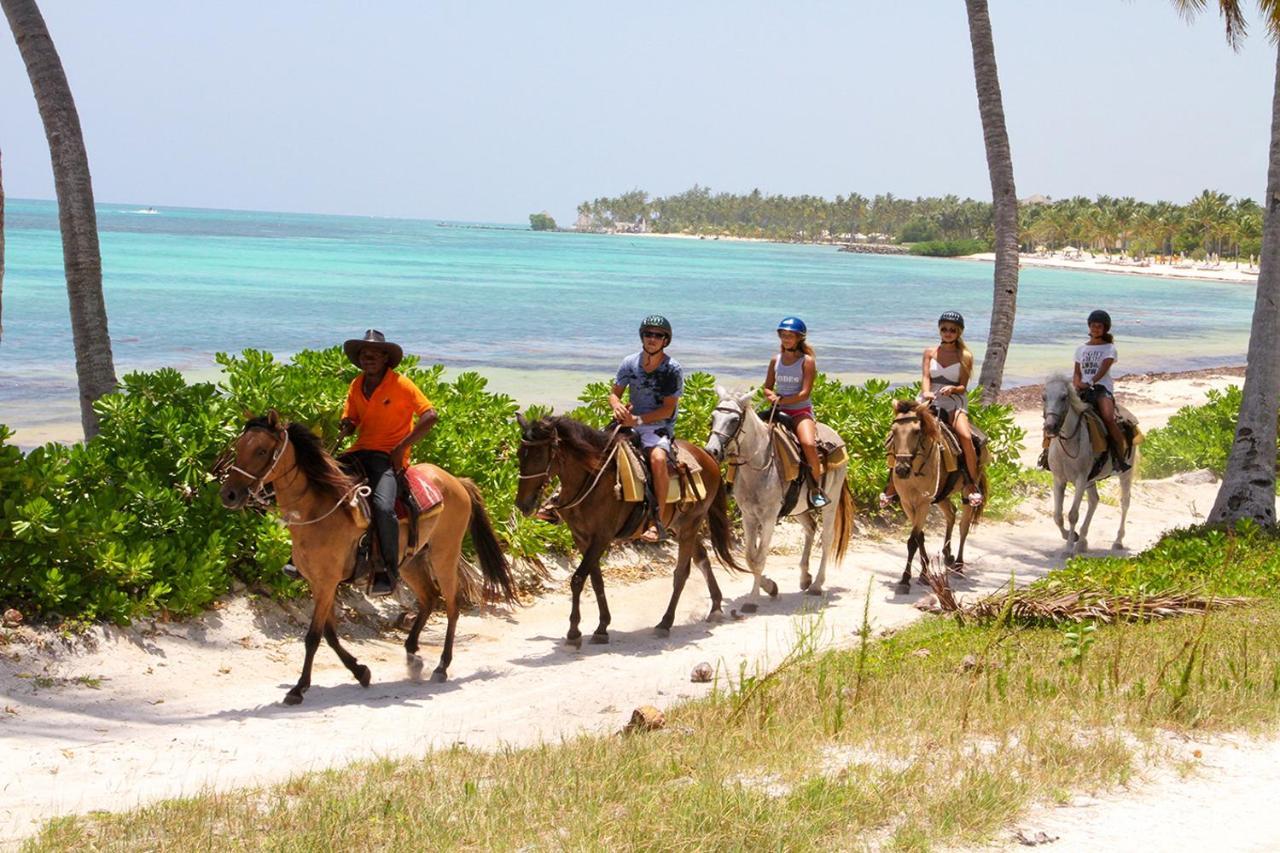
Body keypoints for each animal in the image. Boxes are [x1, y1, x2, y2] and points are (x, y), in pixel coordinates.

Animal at [218, 409, 514, 701]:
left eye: (261, 450)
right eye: (239, 446)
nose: (228, 495)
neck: (318, 509)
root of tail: (456, 481)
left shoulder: (327, 582)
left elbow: (313, 636)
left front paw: (299, 688)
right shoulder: (318, 582)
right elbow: (329, 634)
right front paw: (360, 671)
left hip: (445, 554)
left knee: (452, 605)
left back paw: (441, 666)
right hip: (411, 562)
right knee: (430, 598)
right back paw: (412, 654)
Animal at [514, 412, 742, 645]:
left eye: (540, 456)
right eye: (520, 455)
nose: (523, 504)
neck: (594, 479)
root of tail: (708, 457)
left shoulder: (601, 537)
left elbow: (578, 579)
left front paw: (574, 631)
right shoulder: (581, 538)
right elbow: (596, 580)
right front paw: (602, 626)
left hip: (690, 524)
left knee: (681, 572)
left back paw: (665, 622)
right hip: (681, 526)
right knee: (702, 557)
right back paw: (716, 606)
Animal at [706, 384, 855, 604]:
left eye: (734, 420)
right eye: (713, 417)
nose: (712, 451)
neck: (758, 465)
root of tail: (837, 437)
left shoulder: (768, 518)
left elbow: (759, 558)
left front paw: (753, 599)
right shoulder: (748, 516)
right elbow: (750, 557)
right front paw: (769, 587)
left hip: (832, 501)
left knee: (827, 537)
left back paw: (817, 585)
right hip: (798, 507)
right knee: (810, 528)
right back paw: (804, 578)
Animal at [890, 399, 988, 591]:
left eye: (916, 431)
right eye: (894, 431)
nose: (901, 469)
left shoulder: (923, 502)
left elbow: (912, 541)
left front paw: (905, 579)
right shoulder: (907, 503)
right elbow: (919, 537)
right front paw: (923, 573)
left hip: (968, 491)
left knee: (963, 526)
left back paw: (958, 564)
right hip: (942, 495)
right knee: (951, 513)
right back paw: (948, 555)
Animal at [1044, 376, 1136, 555]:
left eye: (1064, 397)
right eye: (1044, 397)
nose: (1050, 427)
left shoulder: (1080, 479)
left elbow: (1072, 514)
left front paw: (1068, 549)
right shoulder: (1059, 479)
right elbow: (1057, 516)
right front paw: (1072, 537)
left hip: (1125, 473)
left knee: (1125, 502)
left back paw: (1118, 541)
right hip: (1091, 479)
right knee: (1094, 500)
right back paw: (1082, 542)